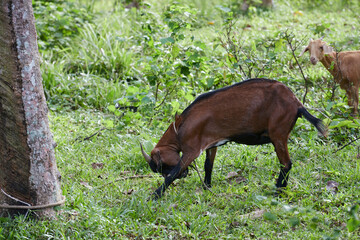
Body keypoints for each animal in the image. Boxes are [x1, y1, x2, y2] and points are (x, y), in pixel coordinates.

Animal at [141, 78, 326, 199]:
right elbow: (208, 165)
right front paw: (207, 187)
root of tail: (297, 104)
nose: (185, 176)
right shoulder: (211, 143)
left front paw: (155, 195)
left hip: (278, 134)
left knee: (286, 163)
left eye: (162, 165)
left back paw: (278, 191)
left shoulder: (192, 150)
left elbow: (175, 171)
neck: (180, 127)